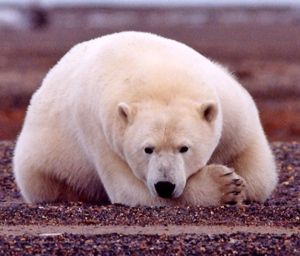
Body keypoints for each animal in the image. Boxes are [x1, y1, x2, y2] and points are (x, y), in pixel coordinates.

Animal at [13, 31, 276, 206]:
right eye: (147, 149)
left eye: (184, 148)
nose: (165, 185)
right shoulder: (101, 132)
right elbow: (129, 190)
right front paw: (226, 186)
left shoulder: (230, 107)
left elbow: (257, 170)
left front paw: (240, 183)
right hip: (42, 163)